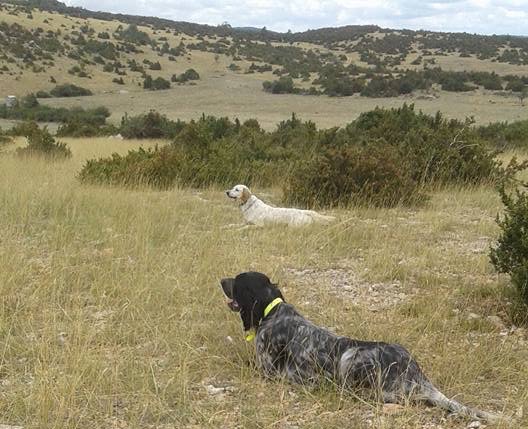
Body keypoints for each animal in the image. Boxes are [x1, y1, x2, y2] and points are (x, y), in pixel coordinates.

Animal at [221, 270, 502, 422]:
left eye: (237, 280)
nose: (221, 280)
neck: (273, 310)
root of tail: (418, 376)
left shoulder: (267, 370)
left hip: (351, 357)